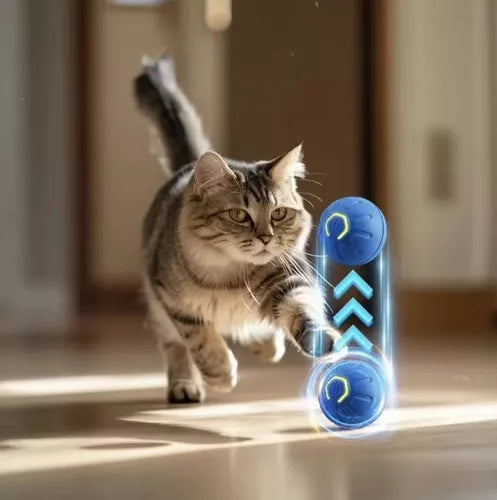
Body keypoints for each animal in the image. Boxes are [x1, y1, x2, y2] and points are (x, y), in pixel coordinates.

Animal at [134, 54, 340, 404]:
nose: (266, 238)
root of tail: (187, 167)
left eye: (279, 213)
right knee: (175, 348)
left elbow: (303, 310)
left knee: (261, 330)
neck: (229, 277)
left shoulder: (289, 279)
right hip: (159, 312)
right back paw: (185, 386)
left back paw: (264, 343)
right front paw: (219, 373)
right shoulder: (173, 302)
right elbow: (199, 338)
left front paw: (323, 339)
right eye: (240, 215)